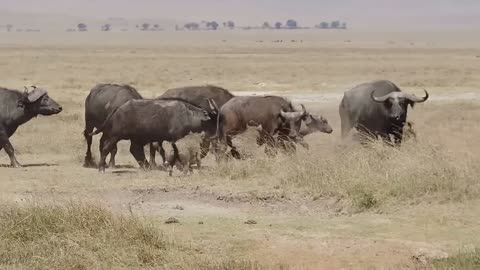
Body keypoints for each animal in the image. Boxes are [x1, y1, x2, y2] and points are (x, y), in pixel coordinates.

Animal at [89, 98, 218, 172]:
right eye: (212, 121)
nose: (215, 134)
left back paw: (146, 167)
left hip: (136, 138)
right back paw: (101, 168)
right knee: (106, 148)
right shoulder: (175, 138)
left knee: (135, 150)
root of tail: (119, 108)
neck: (188, 115)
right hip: (115, 136)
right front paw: (178, 166)